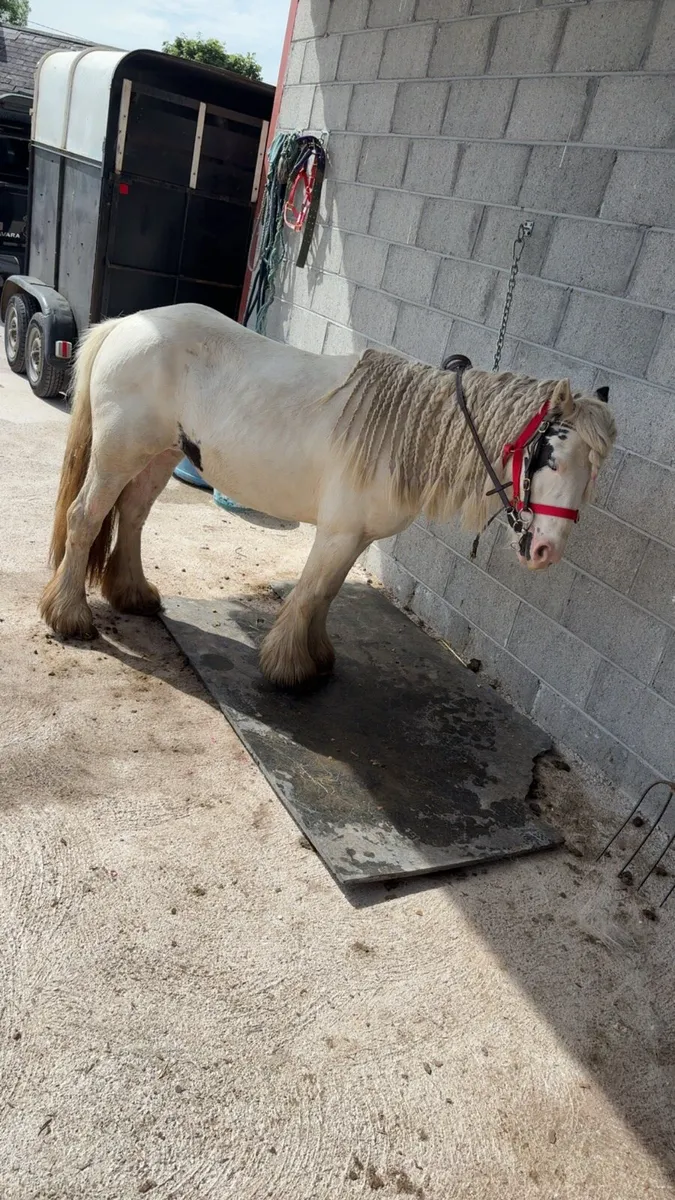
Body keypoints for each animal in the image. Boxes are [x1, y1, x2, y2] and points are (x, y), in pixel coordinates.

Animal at [40, 303, 616, 688]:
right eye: (551, 458)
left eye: (592, 473)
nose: (546, 551)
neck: (405, 434)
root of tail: (128, 322)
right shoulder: (337, 534)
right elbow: (312, 591)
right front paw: (290, 668)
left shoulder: (354, 538)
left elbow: (328, 594)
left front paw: (315, 658)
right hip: (118, 454)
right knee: (86, 517)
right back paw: (69, 616)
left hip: (158, 455)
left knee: (133, 515)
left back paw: (132, 594)